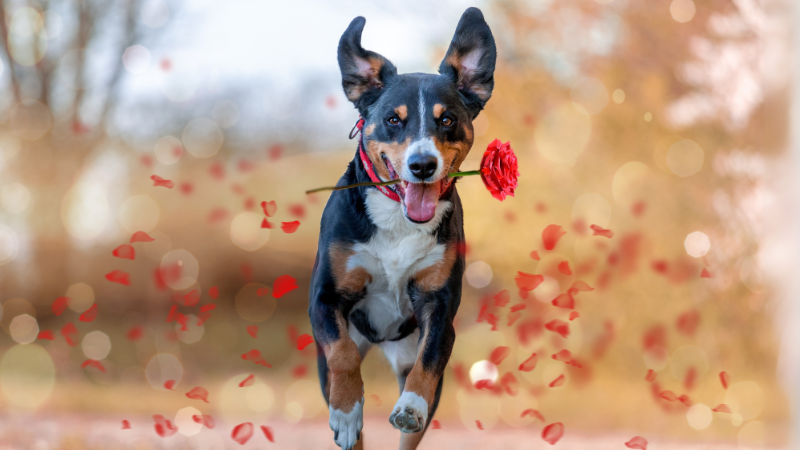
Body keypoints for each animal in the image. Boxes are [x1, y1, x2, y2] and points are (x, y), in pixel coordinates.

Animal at [310, 7, 496, 450]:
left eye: (447, 119)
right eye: (393, 120)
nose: (422, 164)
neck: (398, 219)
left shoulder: (439, 306)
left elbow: (428, 364)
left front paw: (410, 406)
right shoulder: (324, 299)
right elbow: (342, 352)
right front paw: (347, 412)